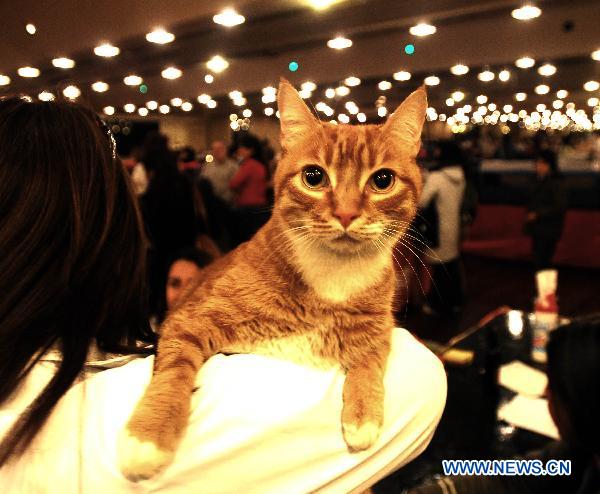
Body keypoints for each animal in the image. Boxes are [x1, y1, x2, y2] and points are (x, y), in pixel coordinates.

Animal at [118, 79, 426, 480]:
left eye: (383, 180)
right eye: (314, 177)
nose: (345, 214)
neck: (332, 279)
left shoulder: (379, 329)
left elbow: (370, 359)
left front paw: (364, 414)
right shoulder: (189, 320)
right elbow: (173, 371)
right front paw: (148, 434)